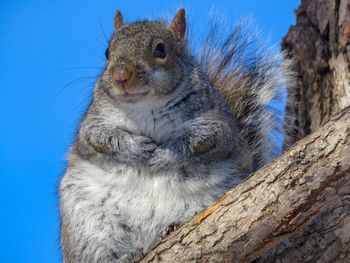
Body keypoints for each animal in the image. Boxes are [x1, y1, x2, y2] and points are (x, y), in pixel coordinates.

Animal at [59, 8, 292, 263]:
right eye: (107, 52)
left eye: (160, 50)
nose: (120, 76)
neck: (145, 107)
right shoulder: (93, 122)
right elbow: (100, 138)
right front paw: (137, 148)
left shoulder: (218, 124)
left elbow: (199, 140)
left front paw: (163, 155)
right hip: (87, 225)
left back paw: (173, 226)